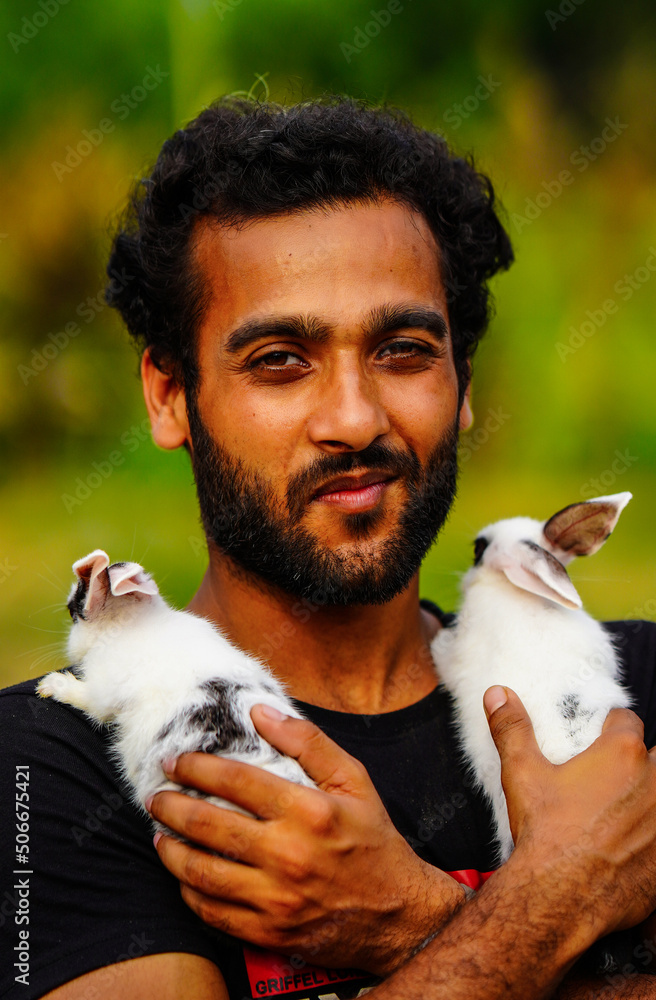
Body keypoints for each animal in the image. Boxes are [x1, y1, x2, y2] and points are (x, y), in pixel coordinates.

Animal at [37, 552, 316, 824]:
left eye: (72, 611)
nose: (70, 646)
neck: (130, 625)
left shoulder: (101, 691)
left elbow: (87, 700)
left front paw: (50, 685)